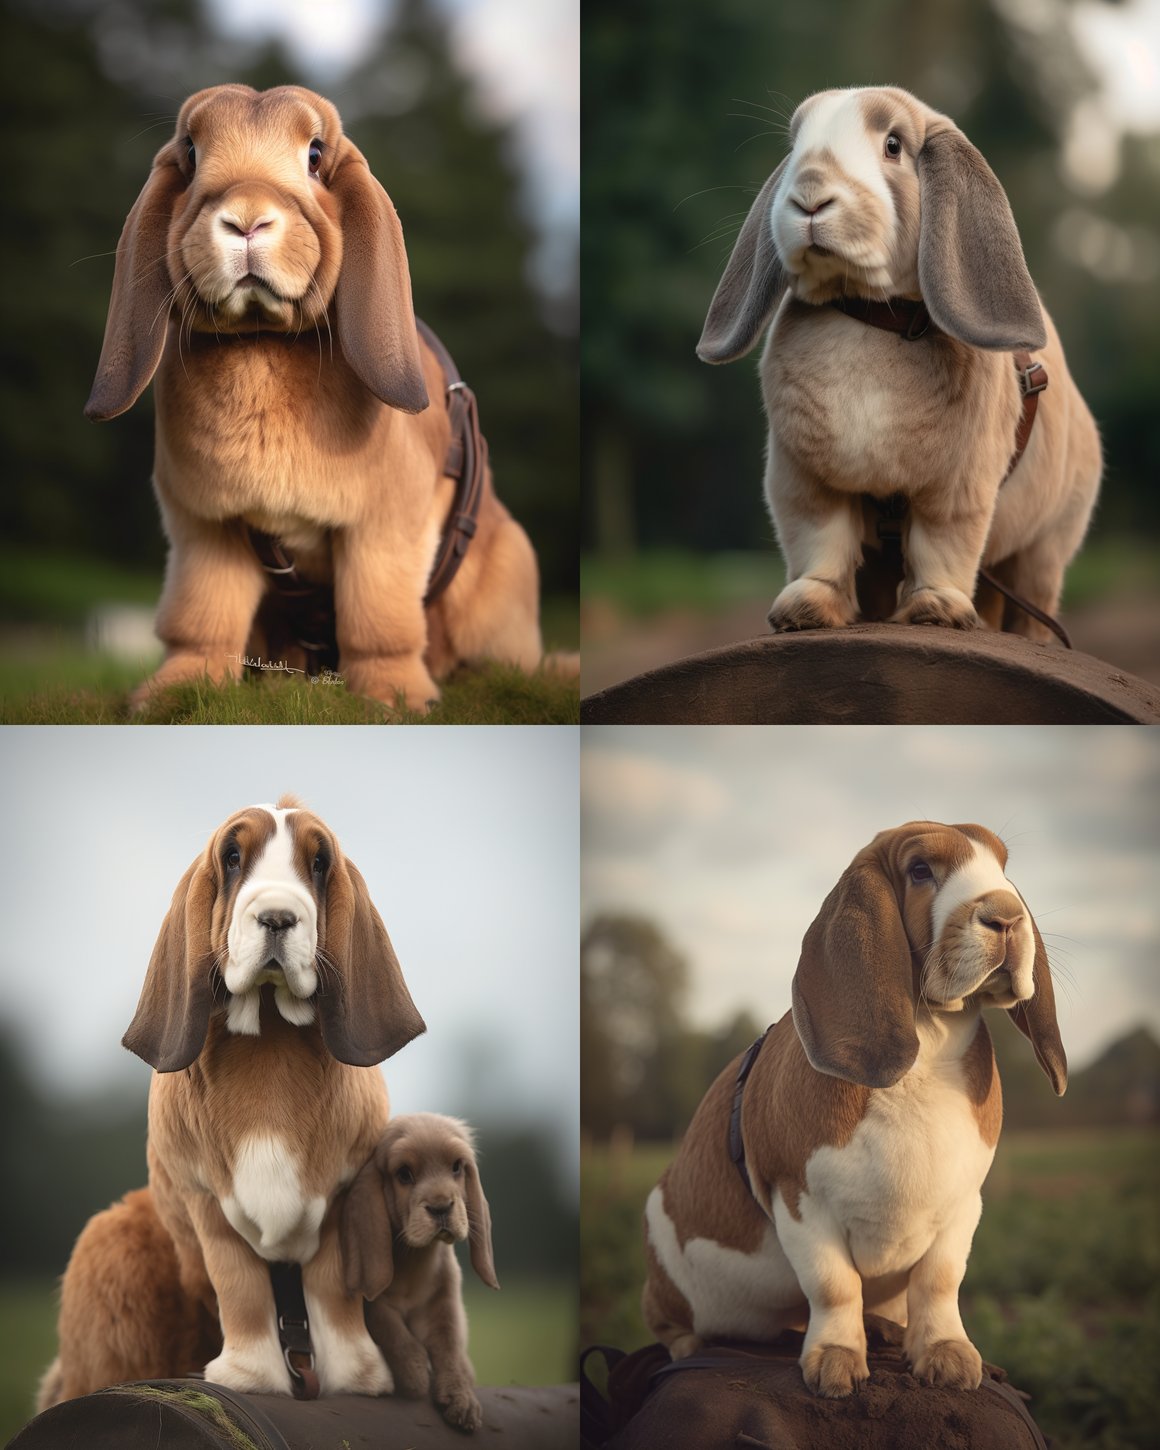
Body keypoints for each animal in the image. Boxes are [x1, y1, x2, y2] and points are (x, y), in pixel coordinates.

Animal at [698, 86, 1101, 641]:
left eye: (893, 145)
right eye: (796, 144)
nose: (808, 197)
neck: (874, 319)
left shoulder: (957, 487)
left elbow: (942, 544)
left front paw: (937, 611)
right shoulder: (802, 480)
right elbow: (818, 539)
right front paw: (804, 610)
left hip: (1044, 551)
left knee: (1029, 596)